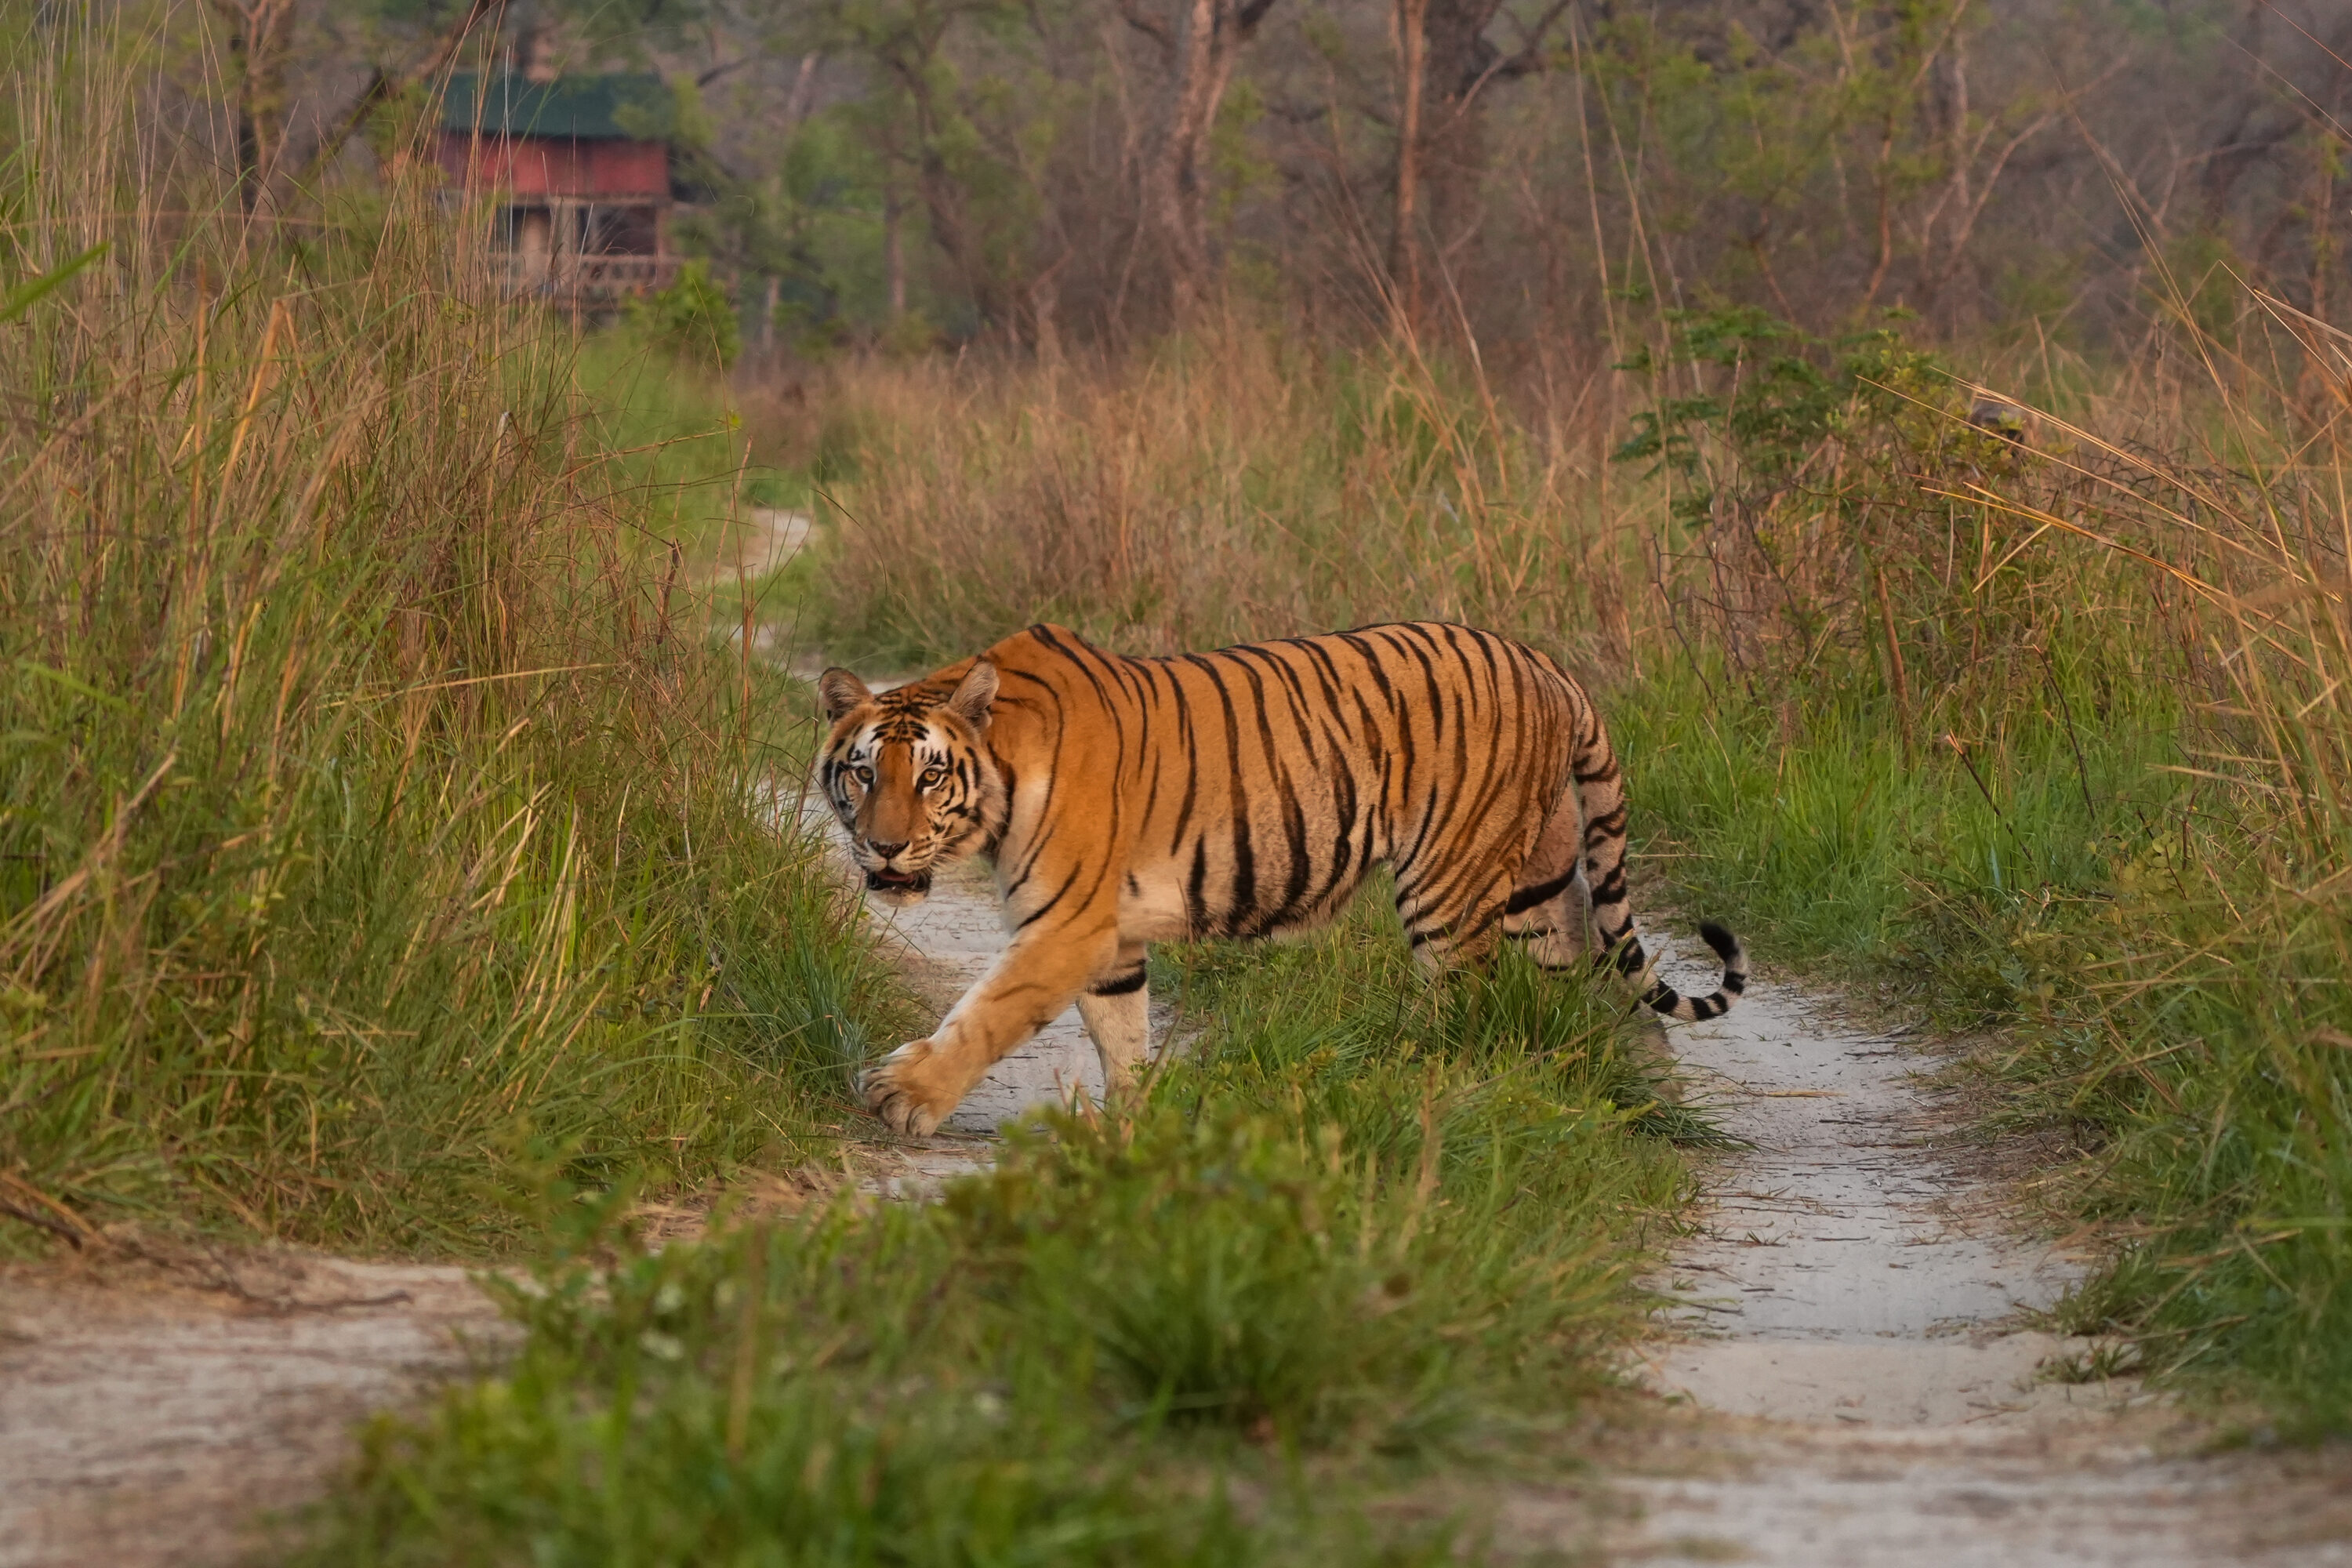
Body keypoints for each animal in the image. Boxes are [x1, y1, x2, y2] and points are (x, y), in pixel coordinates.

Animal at [816, 621, 1746, 1136]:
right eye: (863, 773)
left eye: (930, 775)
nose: (886, 849)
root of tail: (1547, 664)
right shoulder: (1106, 936)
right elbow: (1121, 1035)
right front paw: (1133, 1130)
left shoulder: (1066, 924)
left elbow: (986, 1014)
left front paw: (904, 1096)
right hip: (1541, 881)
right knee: (1605, 980)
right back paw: (1649, 1105)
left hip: (1451, 883)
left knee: (1463, 1004)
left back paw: (1424, 1092)